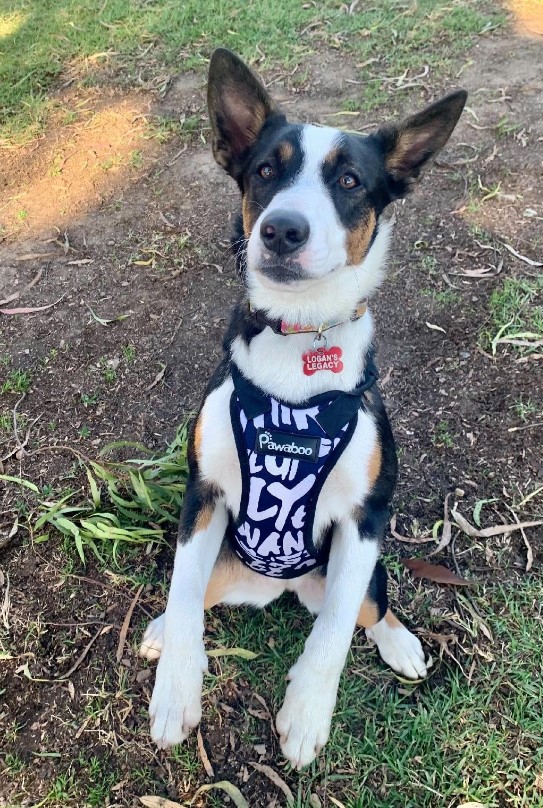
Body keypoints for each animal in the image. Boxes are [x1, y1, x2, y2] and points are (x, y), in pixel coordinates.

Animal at [141, 47, 468, 768]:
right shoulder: (203, 492)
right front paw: (175, 691)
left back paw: (400, 641)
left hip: (359, 572)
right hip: (223, 559)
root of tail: (281, 585)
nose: (282, 230)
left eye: (349, 180)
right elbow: (181, 592)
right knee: (193, 596)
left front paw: (306, 714)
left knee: (369, 608)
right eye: (265, 169)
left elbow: (335, 634)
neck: (297, 345)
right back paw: (160, 629)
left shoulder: (366, 517)